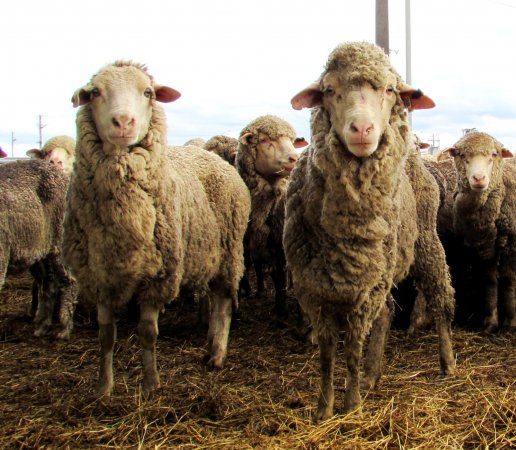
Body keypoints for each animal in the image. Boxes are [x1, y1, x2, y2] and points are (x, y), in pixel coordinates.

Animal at [0, 158, 76, 338]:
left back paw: (65, 327)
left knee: (69, 281)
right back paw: (42, 325)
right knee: (49, 282)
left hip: (60, 238)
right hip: (39, 249)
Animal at [62, 59, 252, 394]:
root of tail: (210, 155)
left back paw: (218, 354)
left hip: (229, 252)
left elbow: (147, 332)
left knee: (223, 303)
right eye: (95, 92)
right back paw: (208, 348)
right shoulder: (99, 276)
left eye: (148, 92)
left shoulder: (159, 275)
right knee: (214, 299)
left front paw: (151, 385)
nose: (123, 122)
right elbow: (105, 335)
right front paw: (103, 388)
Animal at [236, 116, 308, 320]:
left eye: (292, 141)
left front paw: (281, 310)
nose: (294, 158)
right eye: (264, 140)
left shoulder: (280, 243)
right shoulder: (246, 243)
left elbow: (279, 277)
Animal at [284, 40, 458, 420]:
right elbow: (327, 352)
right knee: (388, 312)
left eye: (390, 90)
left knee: (440, 298)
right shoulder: (312, 288)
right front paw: (323, 410)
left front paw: (350, 407)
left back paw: (447, 361)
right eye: (328, 90)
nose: (362, 130)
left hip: (424, 244)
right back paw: (372, 375)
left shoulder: (366, 289)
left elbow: (351, 348)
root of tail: (415, 155)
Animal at [444, 132, 516, 332]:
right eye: (462, 155)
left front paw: (510, 323)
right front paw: (490, 322)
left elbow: (508, 280)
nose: (478, 178)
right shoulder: (485, 248)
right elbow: (489, 281)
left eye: (493, 155)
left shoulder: (511, 245)